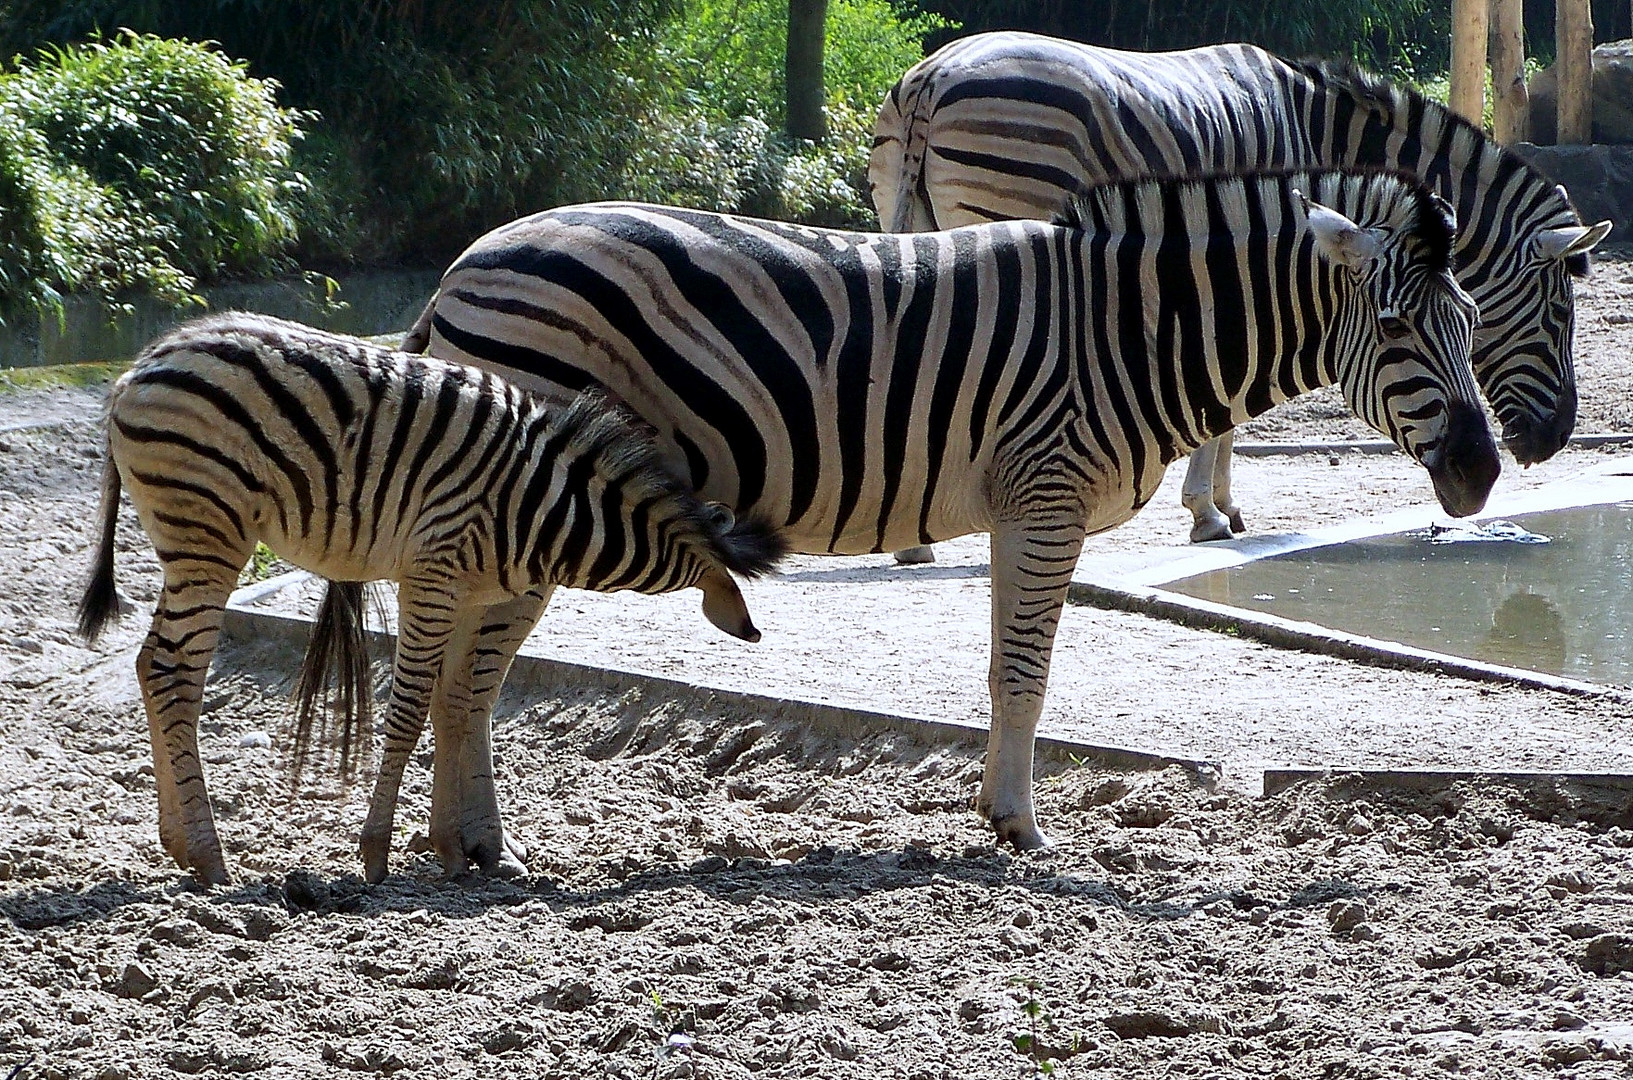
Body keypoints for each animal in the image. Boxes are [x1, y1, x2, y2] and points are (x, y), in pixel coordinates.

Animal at [76, 312, 783, 882]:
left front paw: (450, 848)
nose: (757, 635)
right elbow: (412, 708)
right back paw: (207, 854)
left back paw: (179, 842)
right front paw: (377, 852)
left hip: (194, 537)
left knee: (153, 664)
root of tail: (140, 365)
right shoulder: (434, 574)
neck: (547, 507)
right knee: (173, 670)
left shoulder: (471, 596)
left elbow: (456, 701)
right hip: (209, 531)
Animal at [311, 164, 1495, 869]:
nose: (1483, 474)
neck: (1129, 333)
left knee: (465, 676)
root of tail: (463, 266)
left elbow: (1009, 670)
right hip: (527, 497)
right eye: (1395, 328)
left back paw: (467, 847)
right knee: (468, 673)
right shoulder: (1044, 496)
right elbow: (1023, 673)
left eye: (1470, 318)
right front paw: (1019, 830)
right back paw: (473, 847)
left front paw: (997, 816)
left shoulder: (1024, 507)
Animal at [868, 31, 1606, 548]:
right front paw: (1210, 514)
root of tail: (930, 79)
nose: (1554, 440)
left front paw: (1219, 505)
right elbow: (1228, 404)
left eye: (1474, 313)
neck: (1319, 136)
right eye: (1558, 311)